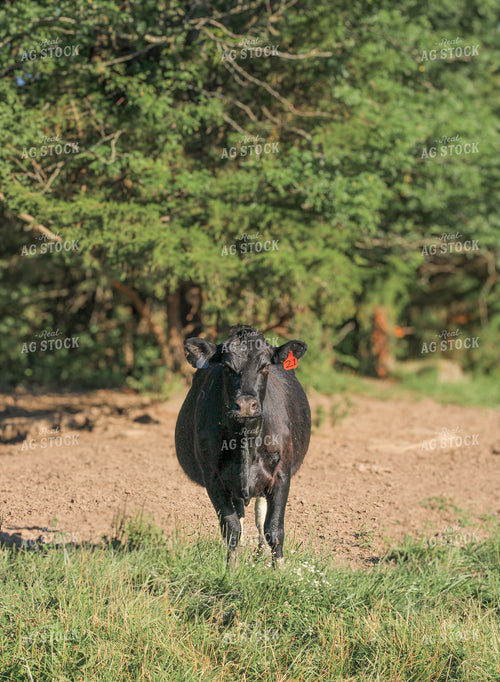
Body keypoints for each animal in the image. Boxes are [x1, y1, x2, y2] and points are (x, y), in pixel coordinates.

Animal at [175, 325, 311, 567]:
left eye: (265, 366)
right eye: (227, 367)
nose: (246, 405)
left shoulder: (282, 473)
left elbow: (274, 529)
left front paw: (279, 569)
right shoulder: (213, 478)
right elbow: (231, 528)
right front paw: (232, 568)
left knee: (259, 514)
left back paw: (259, 554)